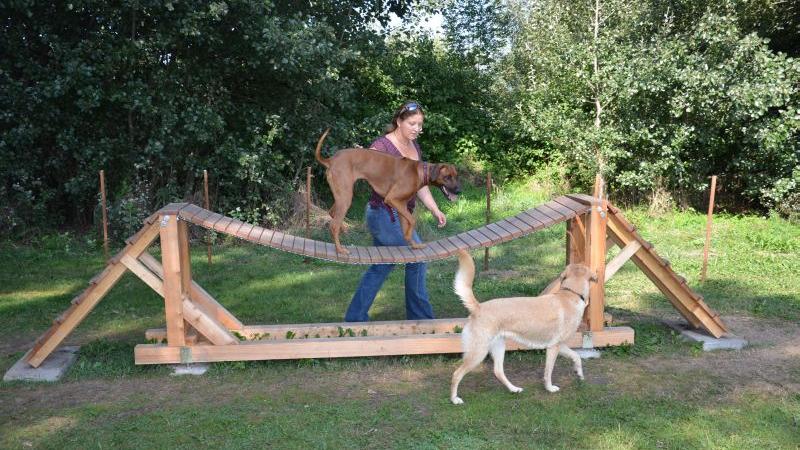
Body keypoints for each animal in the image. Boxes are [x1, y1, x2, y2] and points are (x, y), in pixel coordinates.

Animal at [314, 127, 460, 253]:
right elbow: (412, 220)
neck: (419, 172)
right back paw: (340, 249)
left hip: (341, 195)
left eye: (456, 176)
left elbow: (407, 225)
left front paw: (413, 244)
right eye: (447, 177)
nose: (459, 191)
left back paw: (343, 230)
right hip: (345, 196)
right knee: (334, 224)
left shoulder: (401, 205)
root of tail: (331, 160)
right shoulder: (392, 199)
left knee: (332, 214)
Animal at [450, 250, 592, 404]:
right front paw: (550, 388)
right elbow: (548, 372)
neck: (570, 294)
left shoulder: (558, 345)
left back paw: (514, 389)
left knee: (498, 372)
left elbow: (576, 356)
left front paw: (579, 374)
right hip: (478, 353)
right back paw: (454, 399)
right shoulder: (554, 348)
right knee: (456, 374)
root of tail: (478, 307)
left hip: (498, 347)